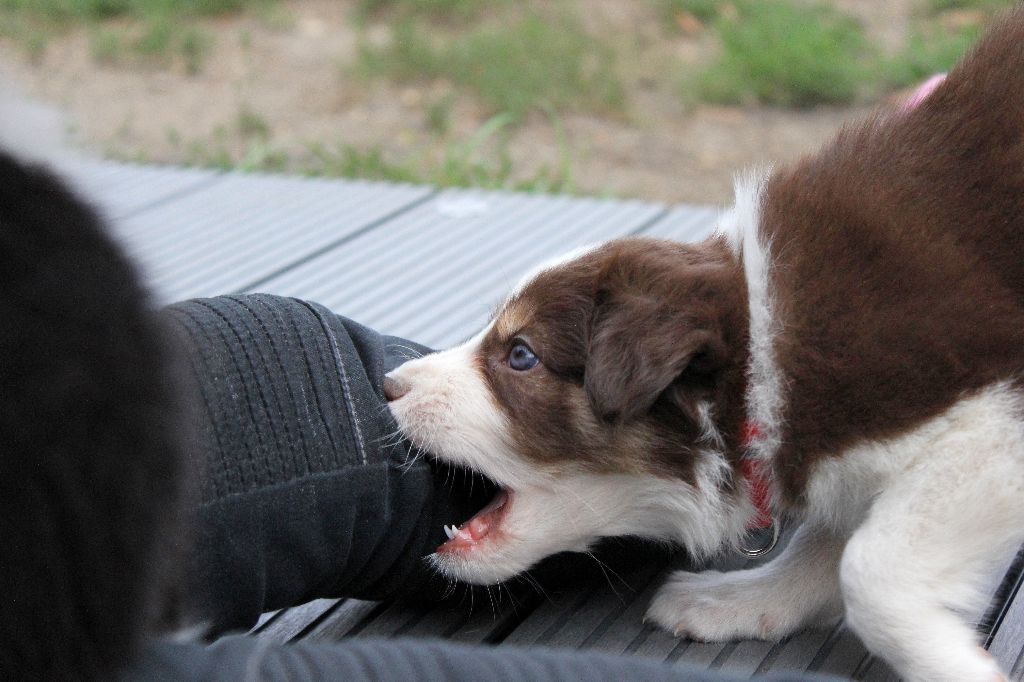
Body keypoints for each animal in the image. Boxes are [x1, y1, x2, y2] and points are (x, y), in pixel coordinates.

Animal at [385, 10, 1024, 679]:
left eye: (520, 355)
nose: (388, 385)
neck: (760, 356)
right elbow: (831, 542)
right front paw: (743, 601)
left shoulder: (992, 429)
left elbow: (870, 568)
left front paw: (953, 665)